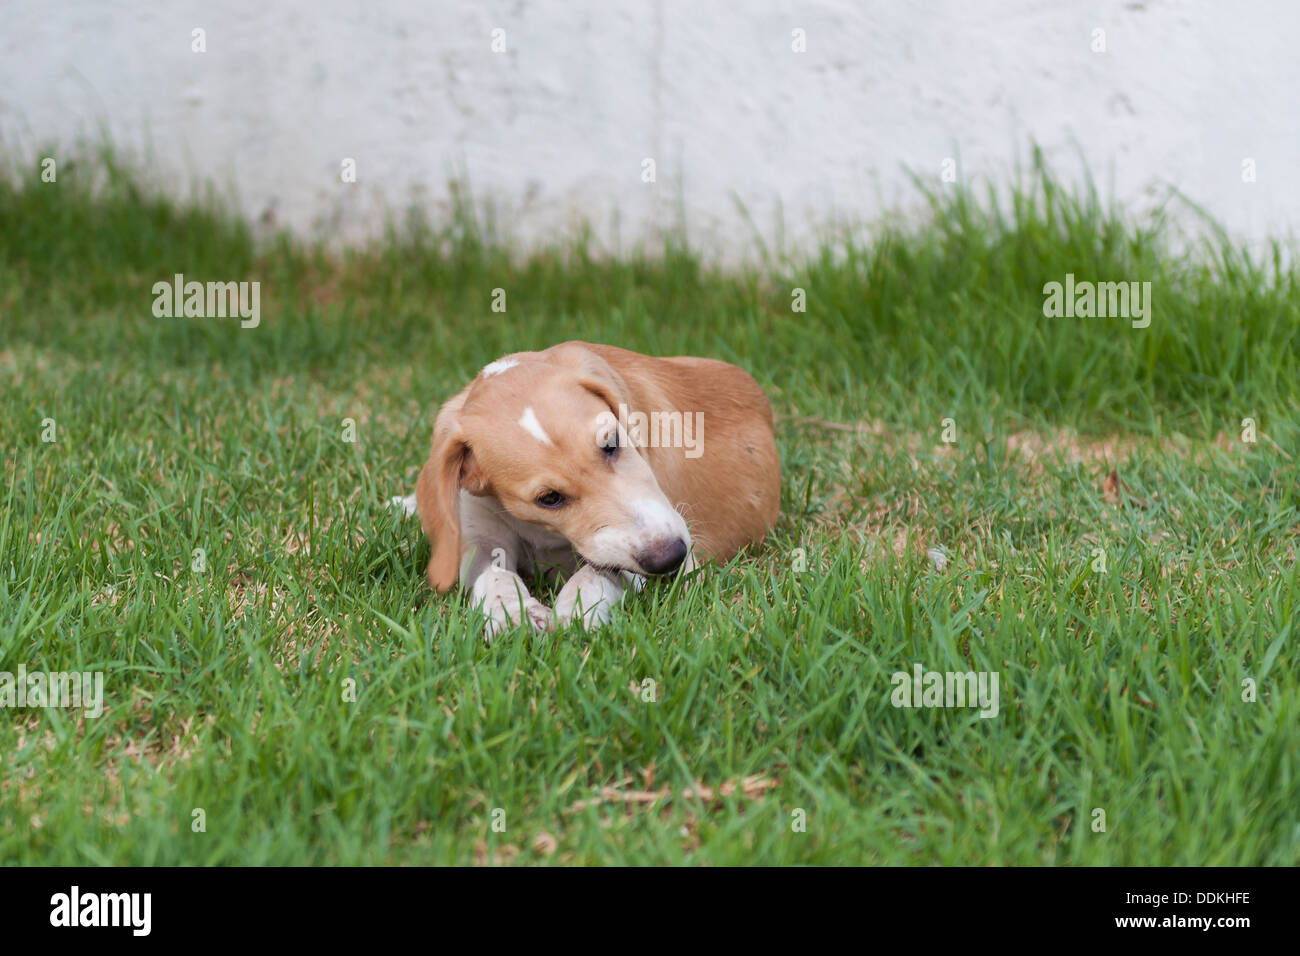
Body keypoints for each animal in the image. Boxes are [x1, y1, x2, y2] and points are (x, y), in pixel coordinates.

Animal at [410, 340, 774, 639]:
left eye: (611, 443)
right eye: (549, 498)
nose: (671, 557)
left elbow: (595, 572)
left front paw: (575, 610)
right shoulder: (480, 540)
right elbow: (495, 576)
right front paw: (512, 614)